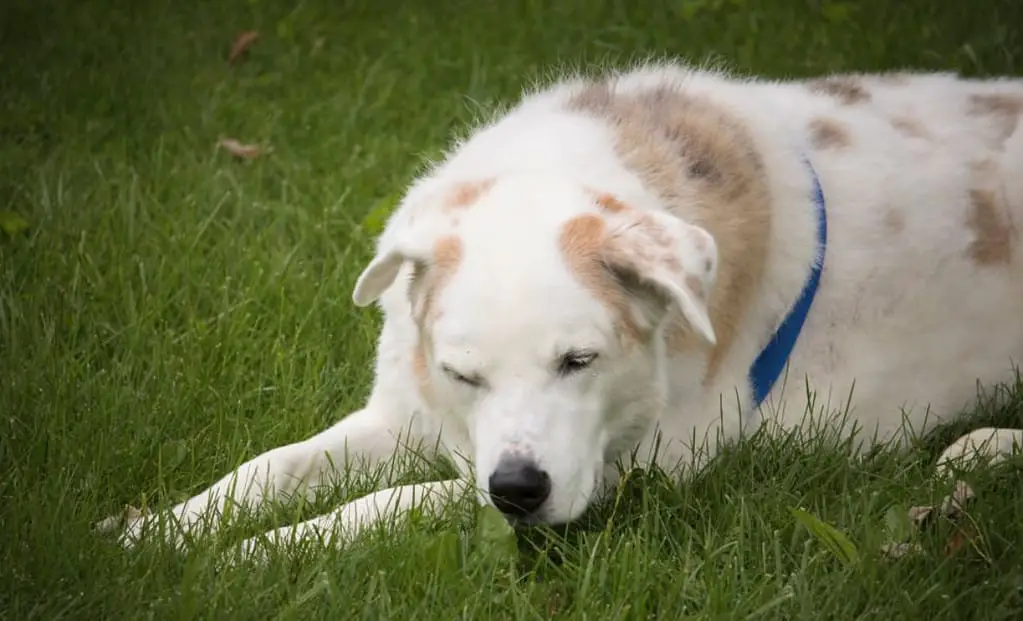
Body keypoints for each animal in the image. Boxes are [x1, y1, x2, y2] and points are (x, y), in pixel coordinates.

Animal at [97, 61, 1023, 560]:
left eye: (579, 361)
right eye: (464, 373)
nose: (517, 487)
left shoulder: (622, 473)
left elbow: (393, 503)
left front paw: (257, 554)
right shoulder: (404, 414)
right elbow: (268, 469)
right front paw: (154, 535)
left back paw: (979, 448)